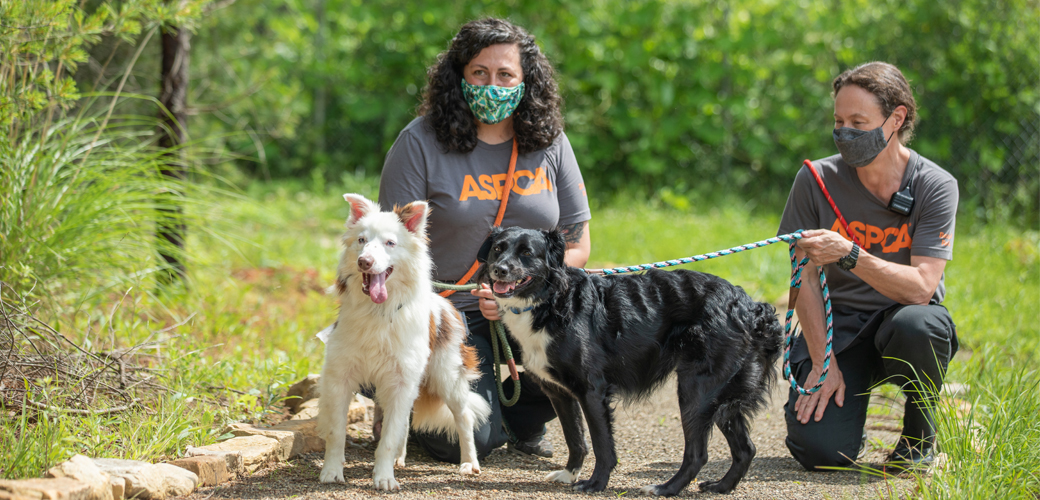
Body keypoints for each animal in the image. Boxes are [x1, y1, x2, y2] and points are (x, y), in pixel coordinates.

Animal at [316, 193, 490, 488]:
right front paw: (332, 471)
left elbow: (387, 438)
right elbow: (336, 431)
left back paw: (469, 463)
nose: (364, 261)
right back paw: (400, 457)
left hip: (447, 376)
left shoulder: (400, 380)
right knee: (405, 422)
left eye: (390, 243)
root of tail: (447, 306)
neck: (377, 312)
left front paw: (384, 478)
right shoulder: (340, 376)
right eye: (361, 240)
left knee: (463, 417)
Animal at [476, 226, 782, 494]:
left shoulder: (592, 391)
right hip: (723, 398)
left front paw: (595, 483)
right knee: (746, 449)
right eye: (497, 249)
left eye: (527, 253)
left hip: (696, 390)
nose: (499, 269)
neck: (551, 302)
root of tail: (752, 307)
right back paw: (721, 487)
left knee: (698, 454)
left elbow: (602, 445)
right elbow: (575, 439)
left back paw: (665, 489)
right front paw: (569, 474)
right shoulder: (559, 393)